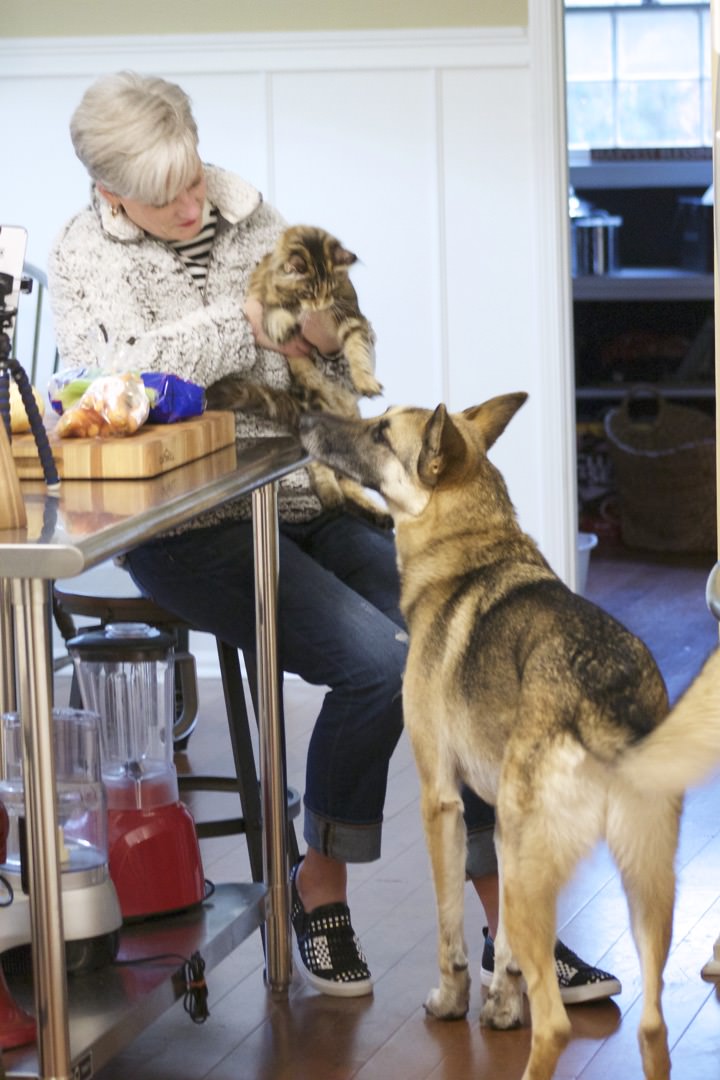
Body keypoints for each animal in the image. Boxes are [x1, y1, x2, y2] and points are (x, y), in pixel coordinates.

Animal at [208, 226, 390, 527]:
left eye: (330, 288)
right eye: (308, 290)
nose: (320, 304)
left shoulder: (351, 319)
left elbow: (358, 352)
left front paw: (366, 382)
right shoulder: (267, 304)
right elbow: (277, 316)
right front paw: (288, 326)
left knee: (347, 481)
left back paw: (377, 512)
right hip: (313, 408)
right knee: (322, 470)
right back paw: (333, 497)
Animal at [300, 395, 720, 1080]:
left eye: (381, 432)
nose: (305, 420)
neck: (472, 544)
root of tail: (599, 696)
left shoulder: (440, 801)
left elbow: (450, 929)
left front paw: (453, 1002)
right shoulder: (500, 826)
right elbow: (506, 951)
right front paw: (500, 1005)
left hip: (541, 874)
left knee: (554, 1026)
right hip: (643, 888)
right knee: (654, 1029)